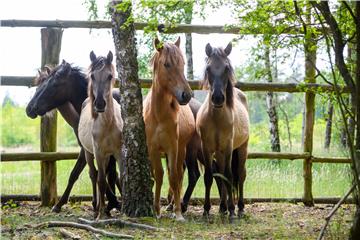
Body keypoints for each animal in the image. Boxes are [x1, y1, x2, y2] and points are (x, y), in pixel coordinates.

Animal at [25, 60, 121, 214]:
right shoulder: (88, 149)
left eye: (53, 84)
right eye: (39, 85)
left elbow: (100, 174)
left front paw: (111, 202)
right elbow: (85, 174)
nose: (30, 109)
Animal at [78, 50, 123, 219]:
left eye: (110, 76)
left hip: (107, 156)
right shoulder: (98, 152)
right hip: (89, 153)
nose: (99, 104)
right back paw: (97, 208)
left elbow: (121, 178)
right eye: (92, 76)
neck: (109, 123)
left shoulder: (118, 152)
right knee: (94, 175)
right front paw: (101, 214)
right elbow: (101, 181)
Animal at [143, 37, 195, 221]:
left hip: (182, 150)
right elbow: (158, 175)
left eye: (183, 63)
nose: (186, 95)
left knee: (178, 174)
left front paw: (178, 213)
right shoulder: (153, 149)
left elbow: (173, 176)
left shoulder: (173, 147)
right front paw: (156, 210)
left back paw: (174, 206)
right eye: (166, 64)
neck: (159, 114)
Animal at [195, 42, 249, 219]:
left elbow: (230, 176)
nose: (218, 98)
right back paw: (222, 207)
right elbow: (209, 177)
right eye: (208, 68)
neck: (217, 119)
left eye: (226, 68)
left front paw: (232, 210)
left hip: (242, 148)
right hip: (218, 153)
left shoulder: (228, 148)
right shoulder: (206, 148)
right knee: (220, 174)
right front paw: (206, 210)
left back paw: (239, 208)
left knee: (240, 174)